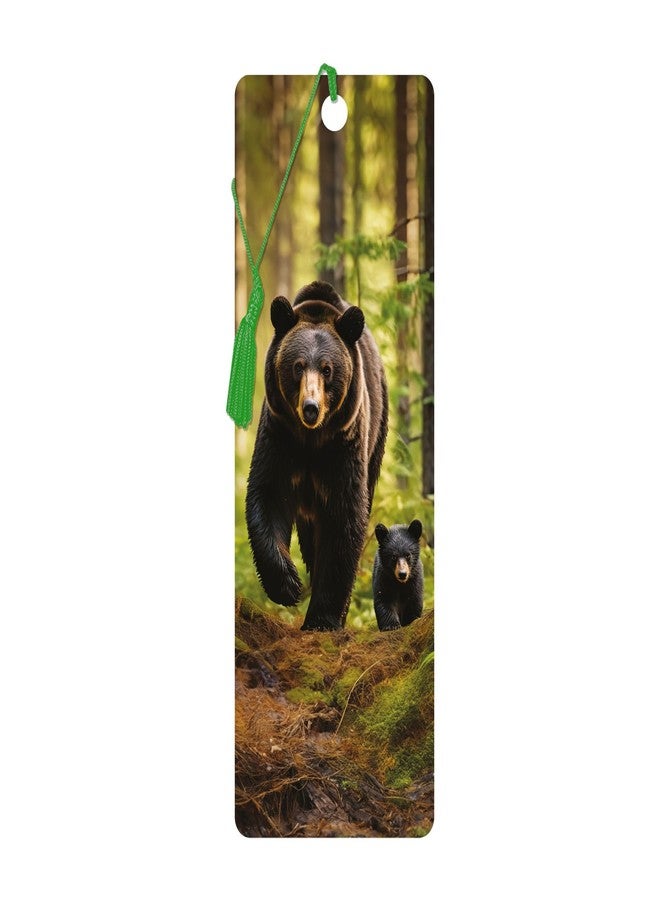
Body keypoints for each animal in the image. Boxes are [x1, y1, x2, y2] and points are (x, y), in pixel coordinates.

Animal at [245, 281, 388, 631]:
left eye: (327, 369)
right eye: (297, 366)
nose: (311, 407)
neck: (311, 440)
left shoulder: (343, 446)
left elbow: (344, 520)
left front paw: (323, 618)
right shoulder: (280, 435)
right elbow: (268, 496)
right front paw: (288, 585)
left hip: (377, 432)